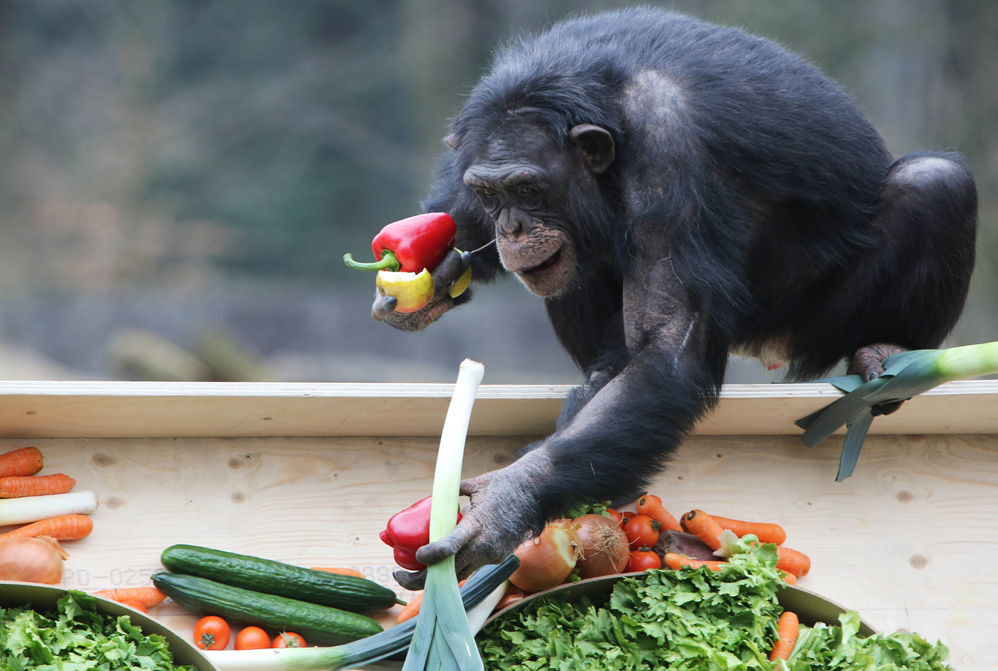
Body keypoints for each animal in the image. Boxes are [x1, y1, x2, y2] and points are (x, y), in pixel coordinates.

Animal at [374, 6, 976, 588]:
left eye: (529, 188)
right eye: (489, 192)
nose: (512, 227)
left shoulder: (674, 157)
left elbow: (668, 347)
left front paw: (505, 501)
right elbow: (457, 219)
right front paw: (430, 274)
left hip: (813, 325)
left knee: (934, 182)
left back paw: (887, 352)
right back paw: (601, 374)